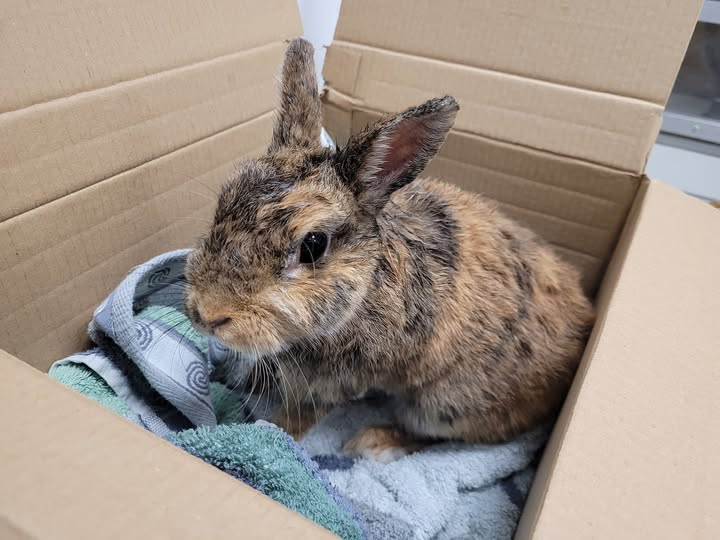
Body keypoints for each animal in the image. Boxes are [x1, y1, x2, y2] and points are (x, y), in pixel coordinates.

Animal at [185, 38, 595, 462]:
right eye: (225, 200)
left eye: (313, 246)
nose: (208, 314)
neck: (365, 287)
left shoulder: (336, 381)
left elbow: (300, 415)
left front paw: (271, 430)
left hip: (442, 405)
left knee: (438, 437)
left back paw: (374, 443)